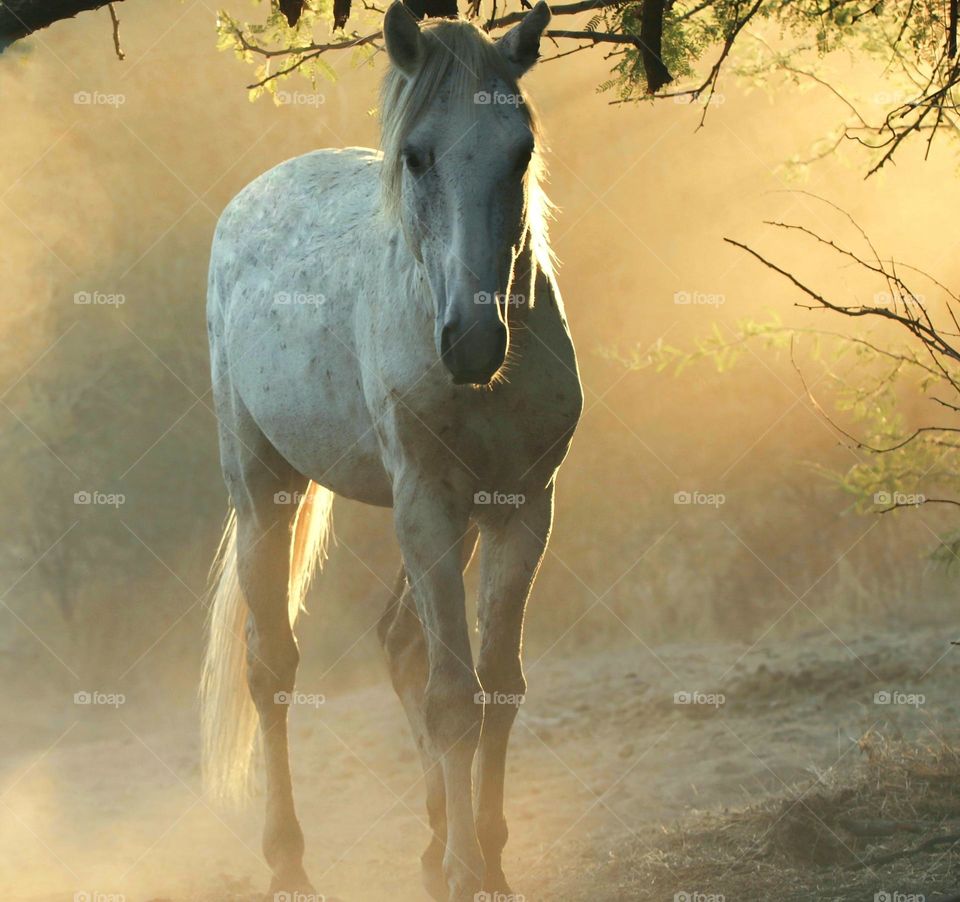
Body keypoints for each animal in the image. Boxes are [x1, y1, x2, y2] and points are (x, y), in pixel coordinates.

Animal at [200, 3, 582, 899]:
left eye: (521, 151)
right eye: (416, 155)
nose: (473, 341)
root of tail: (251, 197)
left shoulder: (523, 507)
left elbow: (498, 686)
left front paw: (486, 866)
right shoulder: (426, 507)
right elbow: (452, 699)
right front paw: (471, 872)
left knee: (402, 641)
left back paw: (432, 848)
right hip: (264, 489)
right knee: (271, 668)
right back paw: (289, 864)